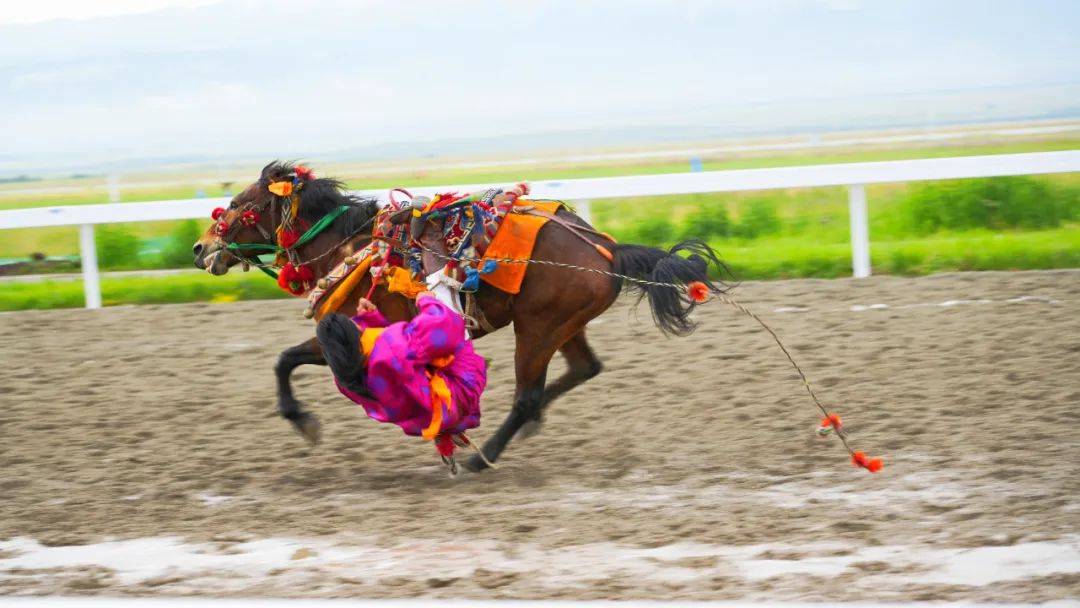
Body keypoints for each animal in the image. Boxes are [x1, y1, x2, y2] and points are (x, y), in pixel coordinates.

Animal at [194, 161, 725, 470]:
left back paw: (483, 457)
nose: (201, 249)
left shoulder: (350, 334)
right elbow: (284, 359)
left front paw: (301, 419)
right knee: (582, 369)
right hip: (562, 326)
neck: (352, 249)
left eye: (237, 205)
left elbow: (289, 360)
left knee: (528, 395)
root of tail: (608, 251)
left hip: (537, 328)